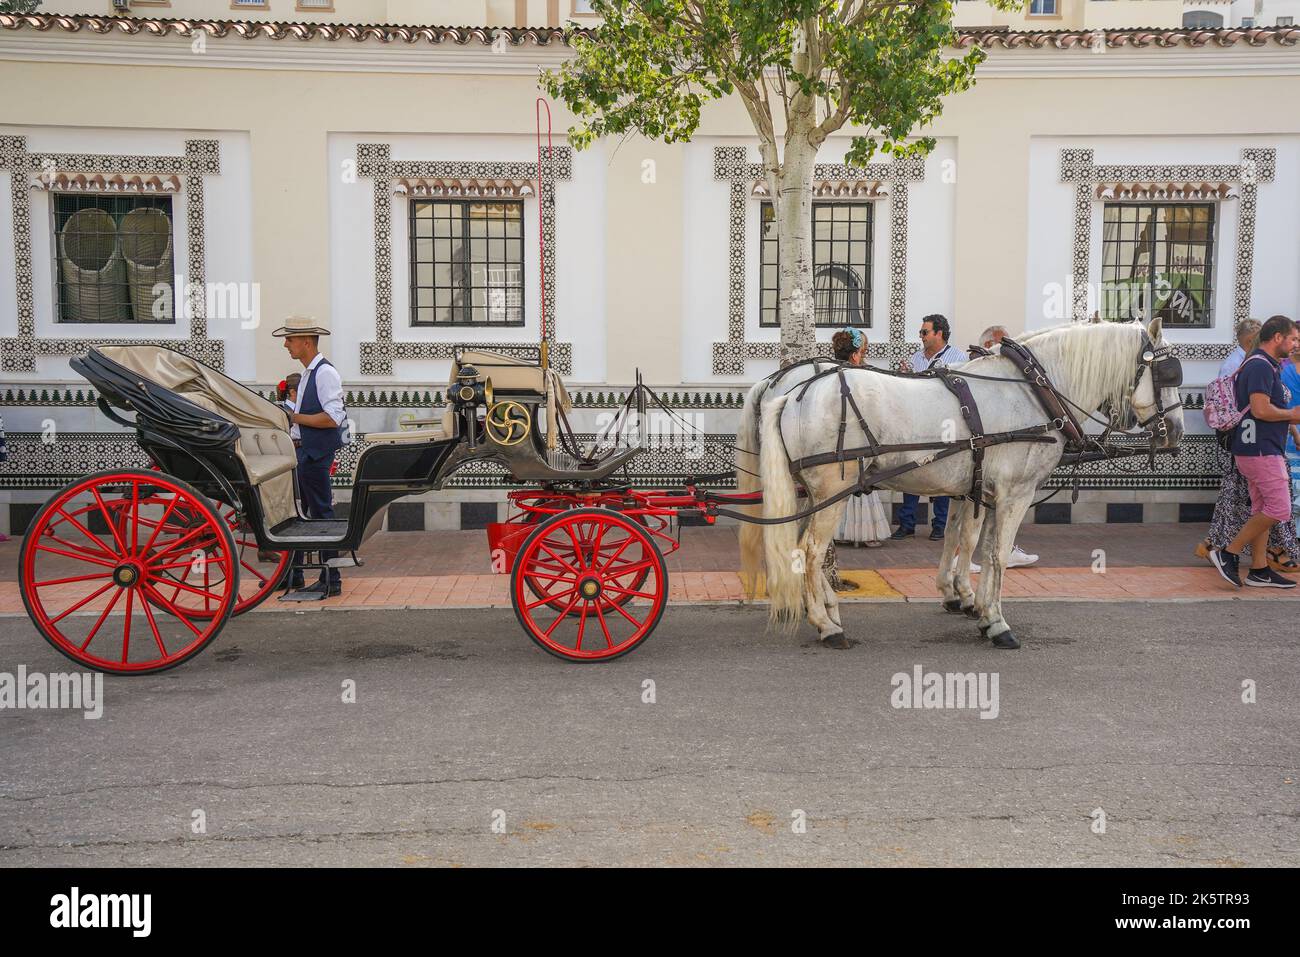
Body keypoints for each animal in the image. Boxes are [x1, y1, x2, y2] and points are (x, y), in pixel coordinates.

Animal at [748, 321, 1185, 650]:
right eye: (1167, 373)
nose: (1177, 431)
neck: (1034, 390)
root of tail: (790, 394)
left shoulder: (981, 491)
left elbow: (970, 543)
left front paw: (972, 603)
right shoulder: (1015, 493)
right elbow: (994, 552)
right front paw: (995, 621)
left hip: (815, 493)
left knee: (805, 548)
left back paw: (829, 611)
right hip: (831, 491)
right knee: (808, 550)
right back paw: (826, 625)